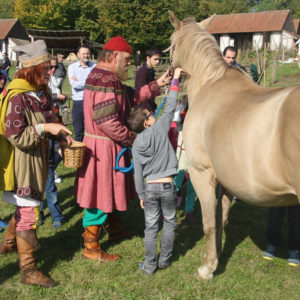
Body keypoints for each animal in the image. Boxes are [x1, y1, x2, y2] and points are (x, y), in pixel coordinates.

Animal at [168, 10, 300, 280]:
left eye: (171, 41)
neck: (209, 84)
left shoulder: (201, 174)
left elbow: (209, 222)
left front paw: (207, 268)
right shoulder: (227, 181)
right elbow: (223, 219)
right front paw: (216, 255)